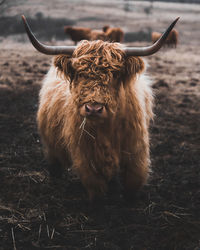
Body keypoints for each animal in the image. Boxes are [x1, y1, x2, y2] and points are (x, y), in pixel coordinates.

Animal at [22, 15, 180, 199]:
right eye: (79, 73)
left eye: (115, 74)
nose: (93, 109)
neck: (107, 128)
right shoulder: (87, 157)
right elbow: (96, 188)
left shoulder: (135, 153)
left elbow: (132, 184)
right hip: (51, 146)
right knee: (55, 164)